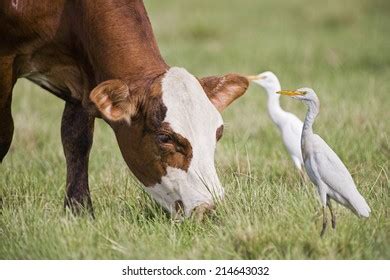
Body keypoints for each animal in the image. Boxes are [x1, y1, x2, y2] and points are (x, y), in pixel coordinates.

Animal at [0, 0, 250, 219]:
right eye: (165, 138)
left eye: (218, 134)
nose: (208, 207)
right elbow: (5, 136)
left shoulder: (83, 82)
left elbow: (76, 141)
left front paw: (79, 212)